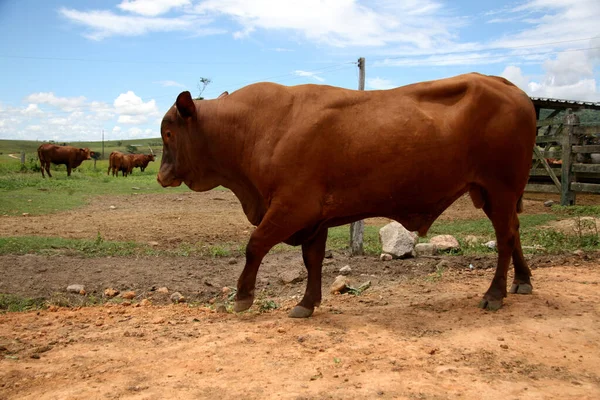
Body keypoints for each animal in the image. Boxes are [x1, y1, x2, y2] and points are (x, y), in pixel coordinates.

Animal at [157, 73, 536, 318]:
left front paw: (243, 297)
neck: (257, 127)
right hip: (490, 194)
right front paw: (307, 303)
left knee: (505, 238)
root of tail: (506, 85)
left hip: (500, 189)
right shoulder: (314, 218)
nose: (161, 176)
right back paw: (522, 281)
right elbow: (311, 260)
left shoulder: (292, 207)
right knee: (514, 232)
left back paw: (495, 294)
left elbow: (255, 246)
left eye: (168, 132)